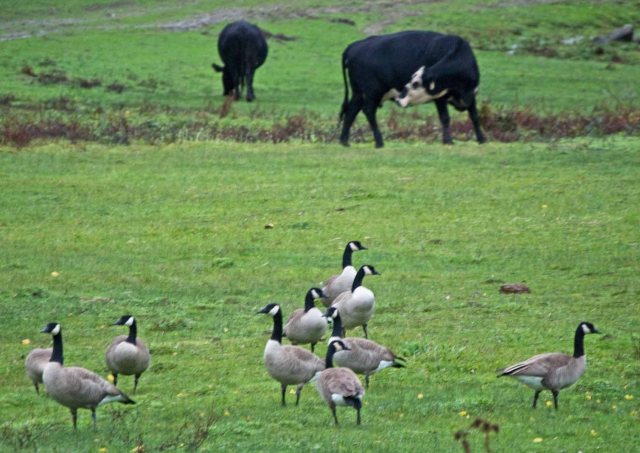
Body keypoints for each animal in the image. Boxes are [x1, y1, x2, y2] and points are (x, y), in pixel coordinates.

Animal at [339, 31, 486, 148]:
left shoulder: (472, 95)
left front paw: (482, 139)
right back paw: (379, 142)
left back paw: (344, 141)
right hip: (372, 92)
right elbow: (445, 118)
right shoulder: (440, 98)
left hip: (358, 92)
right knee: (368, 111)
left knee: (351, 111)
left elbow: (474, 116)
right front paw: (448, 141)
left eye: (415, 83)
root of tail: (355, 45)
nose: (399, 100)